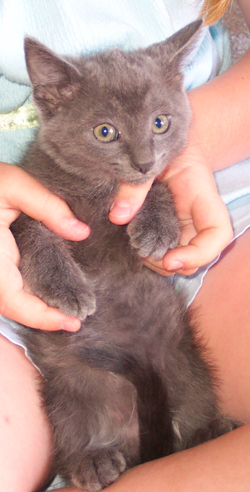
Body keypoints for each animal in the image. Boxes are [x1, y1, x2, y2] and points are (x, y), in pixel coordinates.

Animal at [10, 20, 238, 492]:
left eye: (160, 123)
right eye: (105, 132)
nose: (144, 161)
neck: (100, 190)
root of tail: (134, 444)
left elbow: (159, 186)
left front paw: (156, 224)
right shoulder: (31, 197)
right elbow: (33, 231)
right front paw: (66, 287)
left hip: (185, 362)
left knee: (189, 413)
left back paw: (209, 430)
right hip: (65, 385)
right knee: (72, 429)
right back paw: (91, 461)